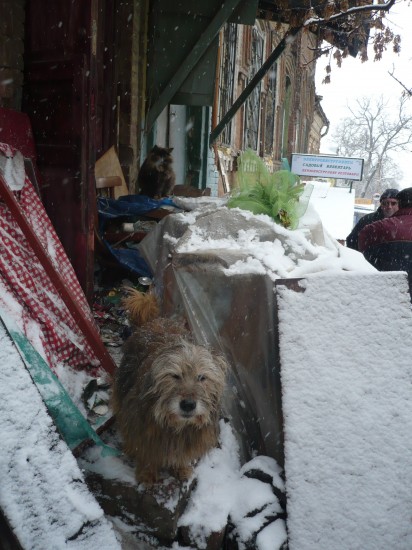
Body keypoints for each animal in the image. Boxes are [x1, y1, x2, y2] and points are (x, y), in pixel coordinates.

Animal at [111, 292, 229, 486]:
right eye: (174, 376)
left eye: (202, 377)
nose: (188, 405)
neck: (176, 426)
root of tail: (156, 320)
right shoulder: (142, 430)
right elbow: (146, 452)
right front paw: (147, 473)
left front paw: (180, 468)